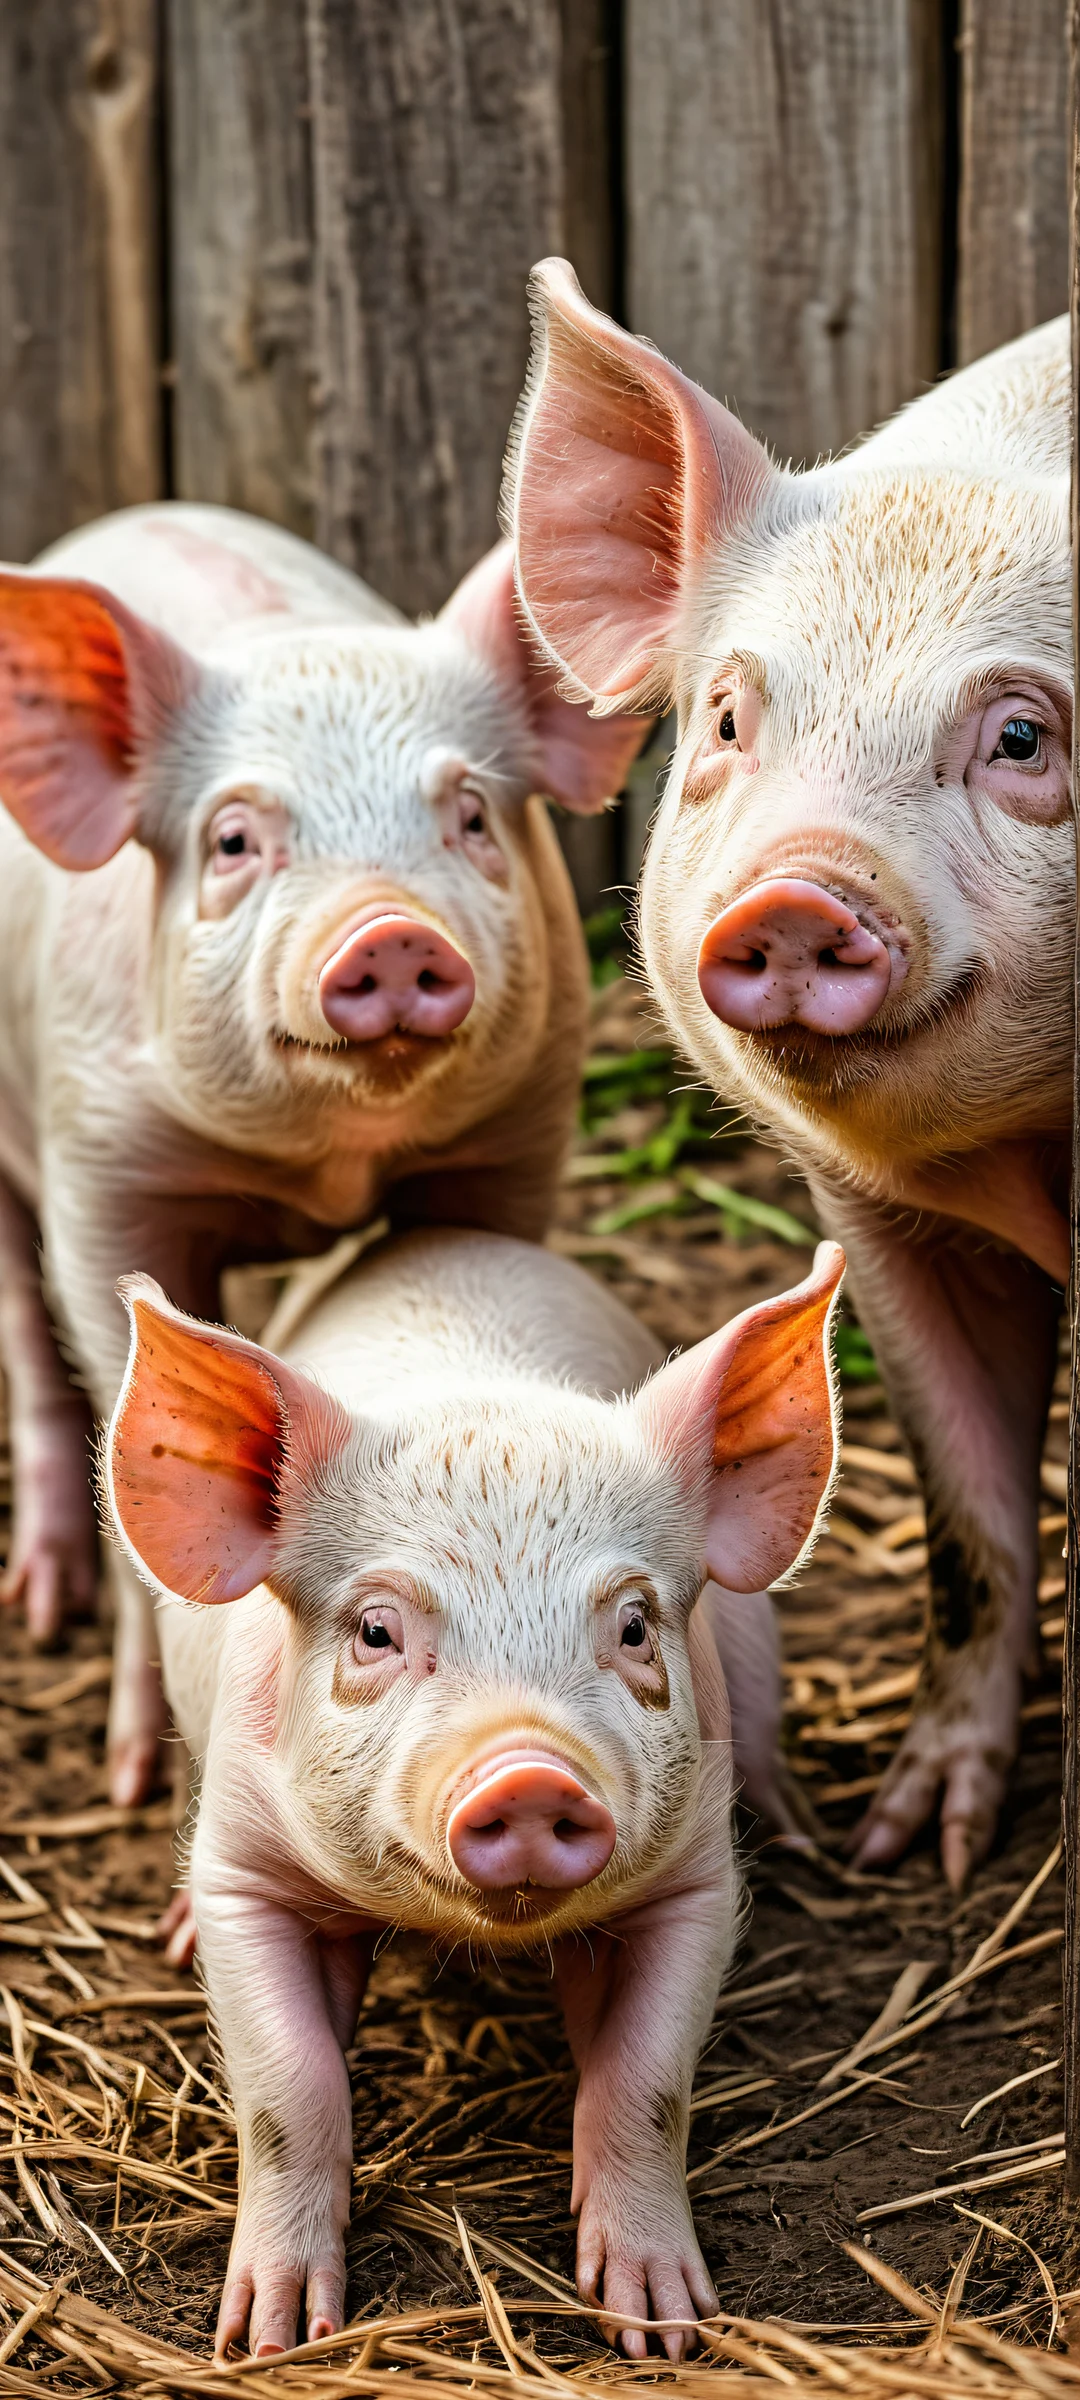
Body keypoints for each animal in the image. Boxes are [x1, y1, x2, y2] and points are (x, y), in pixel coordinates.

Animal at [0, 500, 648, 1805]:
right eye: (234, 839)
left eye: (469, 815)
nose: (391, 931)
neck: (327, 1162)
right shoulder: (104, 1174)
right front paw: (136, 1778)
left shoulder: (515, 1135)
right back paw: (42, 1608)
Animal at [104, 1225, 843, 2360]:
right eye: (375, 1629)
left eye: (635, 1625)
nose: (530, 1770)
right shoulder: (243, 1872)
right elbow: (288, 2089)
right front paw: (274, 2338)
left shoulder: (697, 1886)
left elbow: (647, 2084)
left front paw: (661, 2327)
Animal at [506, 261, 1072, 1890]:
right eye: (726, 719)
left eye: (1022, 735)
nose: (801, 895)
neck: (1034, 1156)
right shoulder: (876, 1219)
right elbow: (970, 1513)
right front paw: (914, 1848)